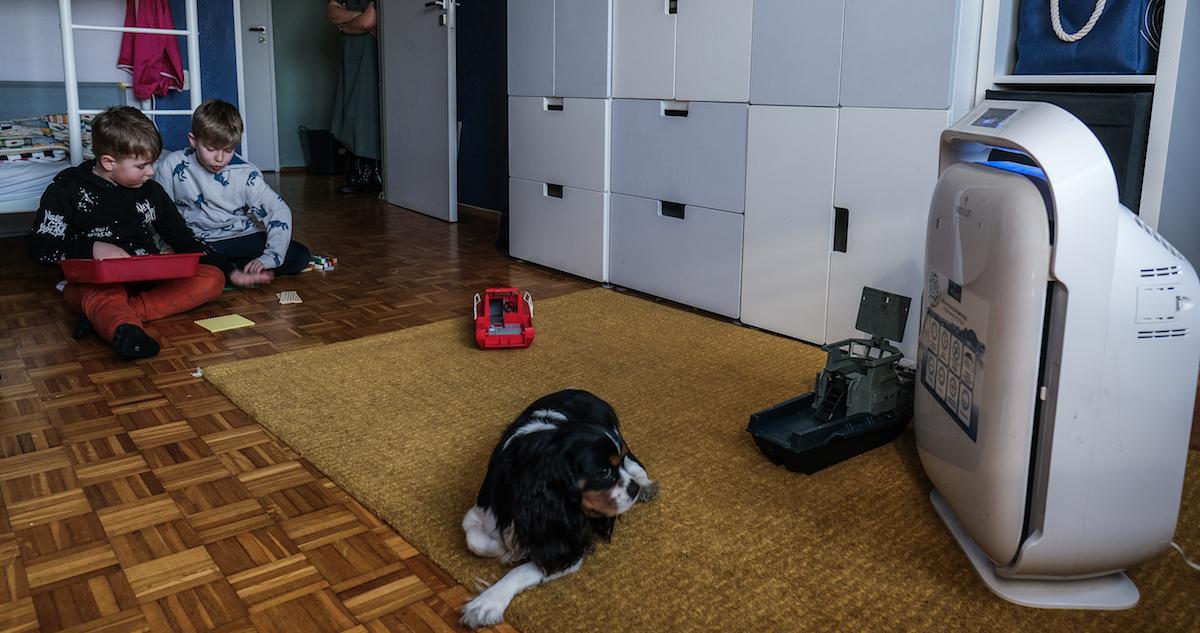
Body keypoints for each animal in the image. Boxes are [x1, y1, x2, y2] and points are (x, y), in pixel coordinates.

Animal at [458, 390, 657, 628]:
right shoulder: (481, 511)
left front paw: (486, 603)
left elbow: (525, 568)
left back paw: (645, 485)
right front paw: (511, 549)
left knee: (636, 464)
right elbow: (478, 542)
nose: (633, 489)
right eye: (605, 472)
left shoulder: (571, 543)